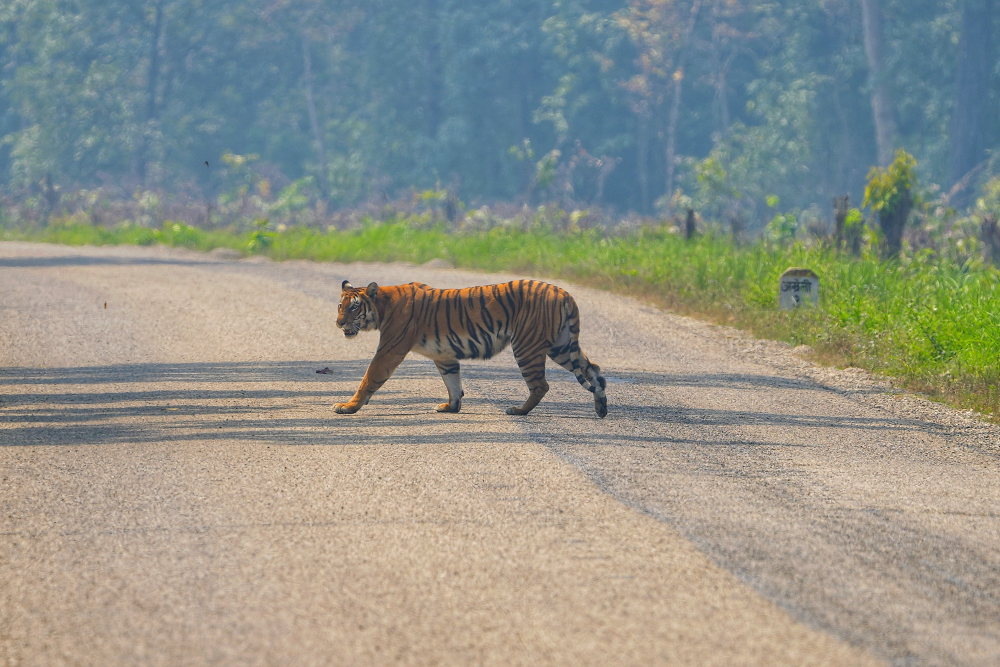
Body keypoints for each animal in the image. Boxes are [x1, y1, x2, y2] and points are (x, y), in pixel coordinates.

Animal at [333, 279, 608, 418]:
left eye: (354, 307)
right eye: (340, 305)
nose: (338, 323)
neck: (383, 307)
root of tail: (562, 291)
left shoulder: (389, 350)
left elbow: (369, 378)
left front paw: (348, 406)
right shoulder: (444, 355)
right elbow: (453, 382)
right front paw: (451, 407)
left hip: (526, 346)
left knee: (541, 385)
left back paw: (518, 410)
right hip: (562, 346)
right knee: (595, 371)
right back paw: (601, 407)